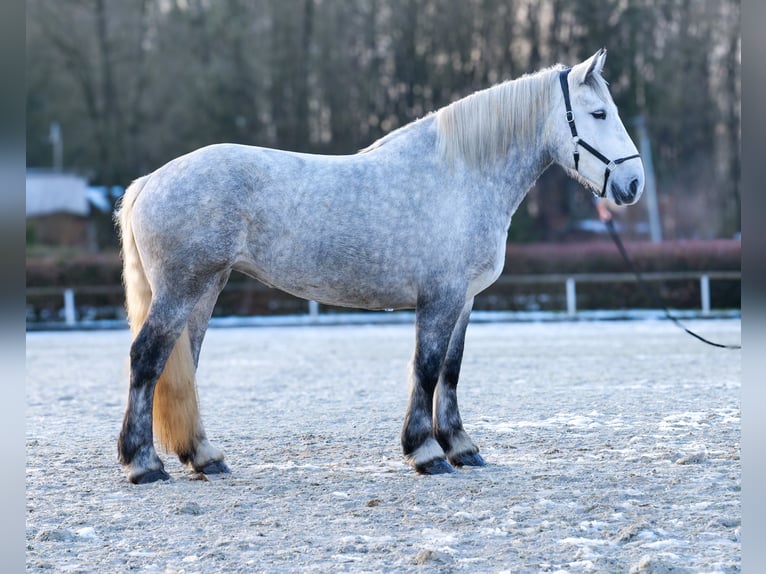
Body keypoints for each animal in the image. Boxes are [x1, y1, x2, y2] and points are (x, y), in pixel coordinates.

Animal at [117, 49, 644, 484]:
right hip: (182, 289)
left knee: (183, 367)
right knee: (147, 359)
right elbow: (426, 368)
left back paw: (204, 458)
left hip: (206, 289)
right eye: (598, 114)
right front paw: (426, 453)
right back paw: (144, 464)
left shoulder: (464, 300)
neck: (460, 176)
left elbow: (450, 370)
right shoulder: (439, 298)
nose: (634, 184)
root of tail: (150, 181)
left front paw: (461, 448)